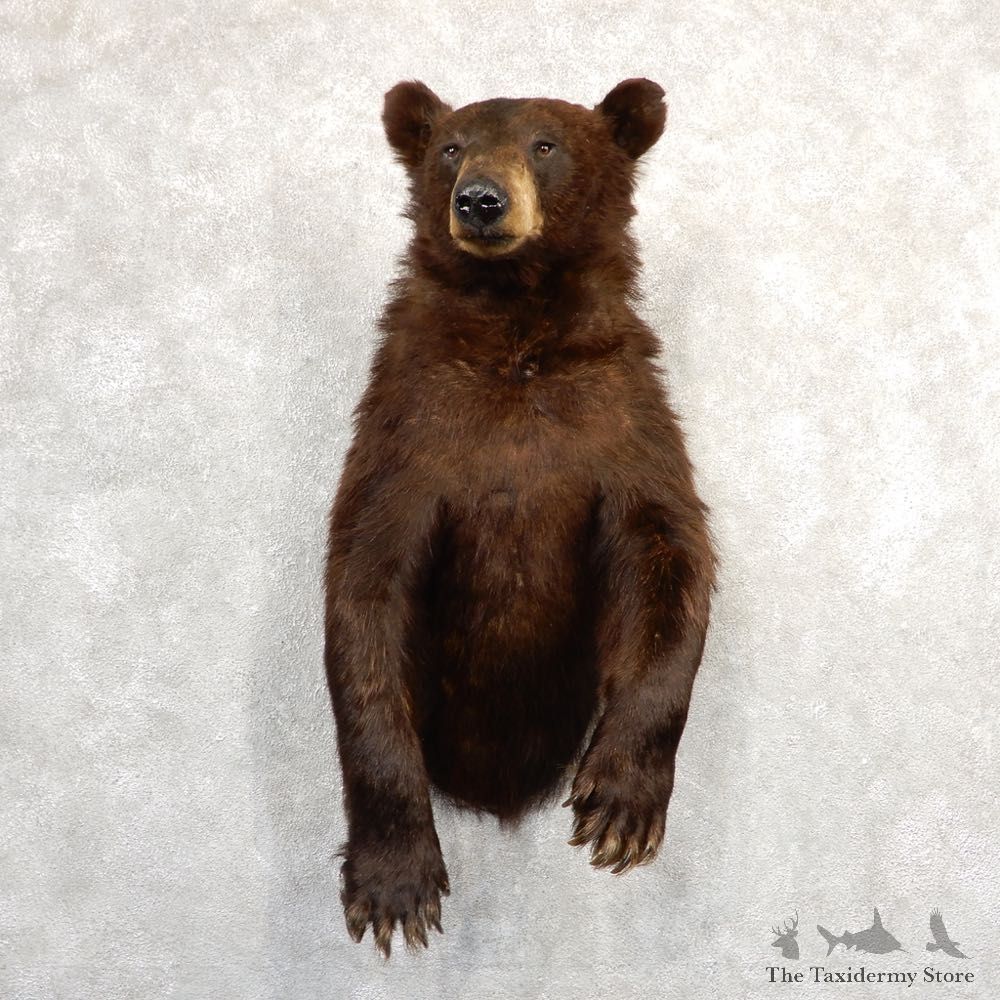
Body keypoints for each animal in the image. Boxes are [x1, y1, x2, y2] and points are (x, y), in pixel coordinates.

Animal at [324, 78, 717, 957]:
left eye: (546, 144)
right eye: (450, 146)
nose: (479, 199)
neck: (515, 330)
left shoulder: (622, 421)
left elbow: (671, 556)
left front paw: (621, 806)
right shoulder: (409, 436)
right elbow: (364, 596)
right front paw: (394, 882)